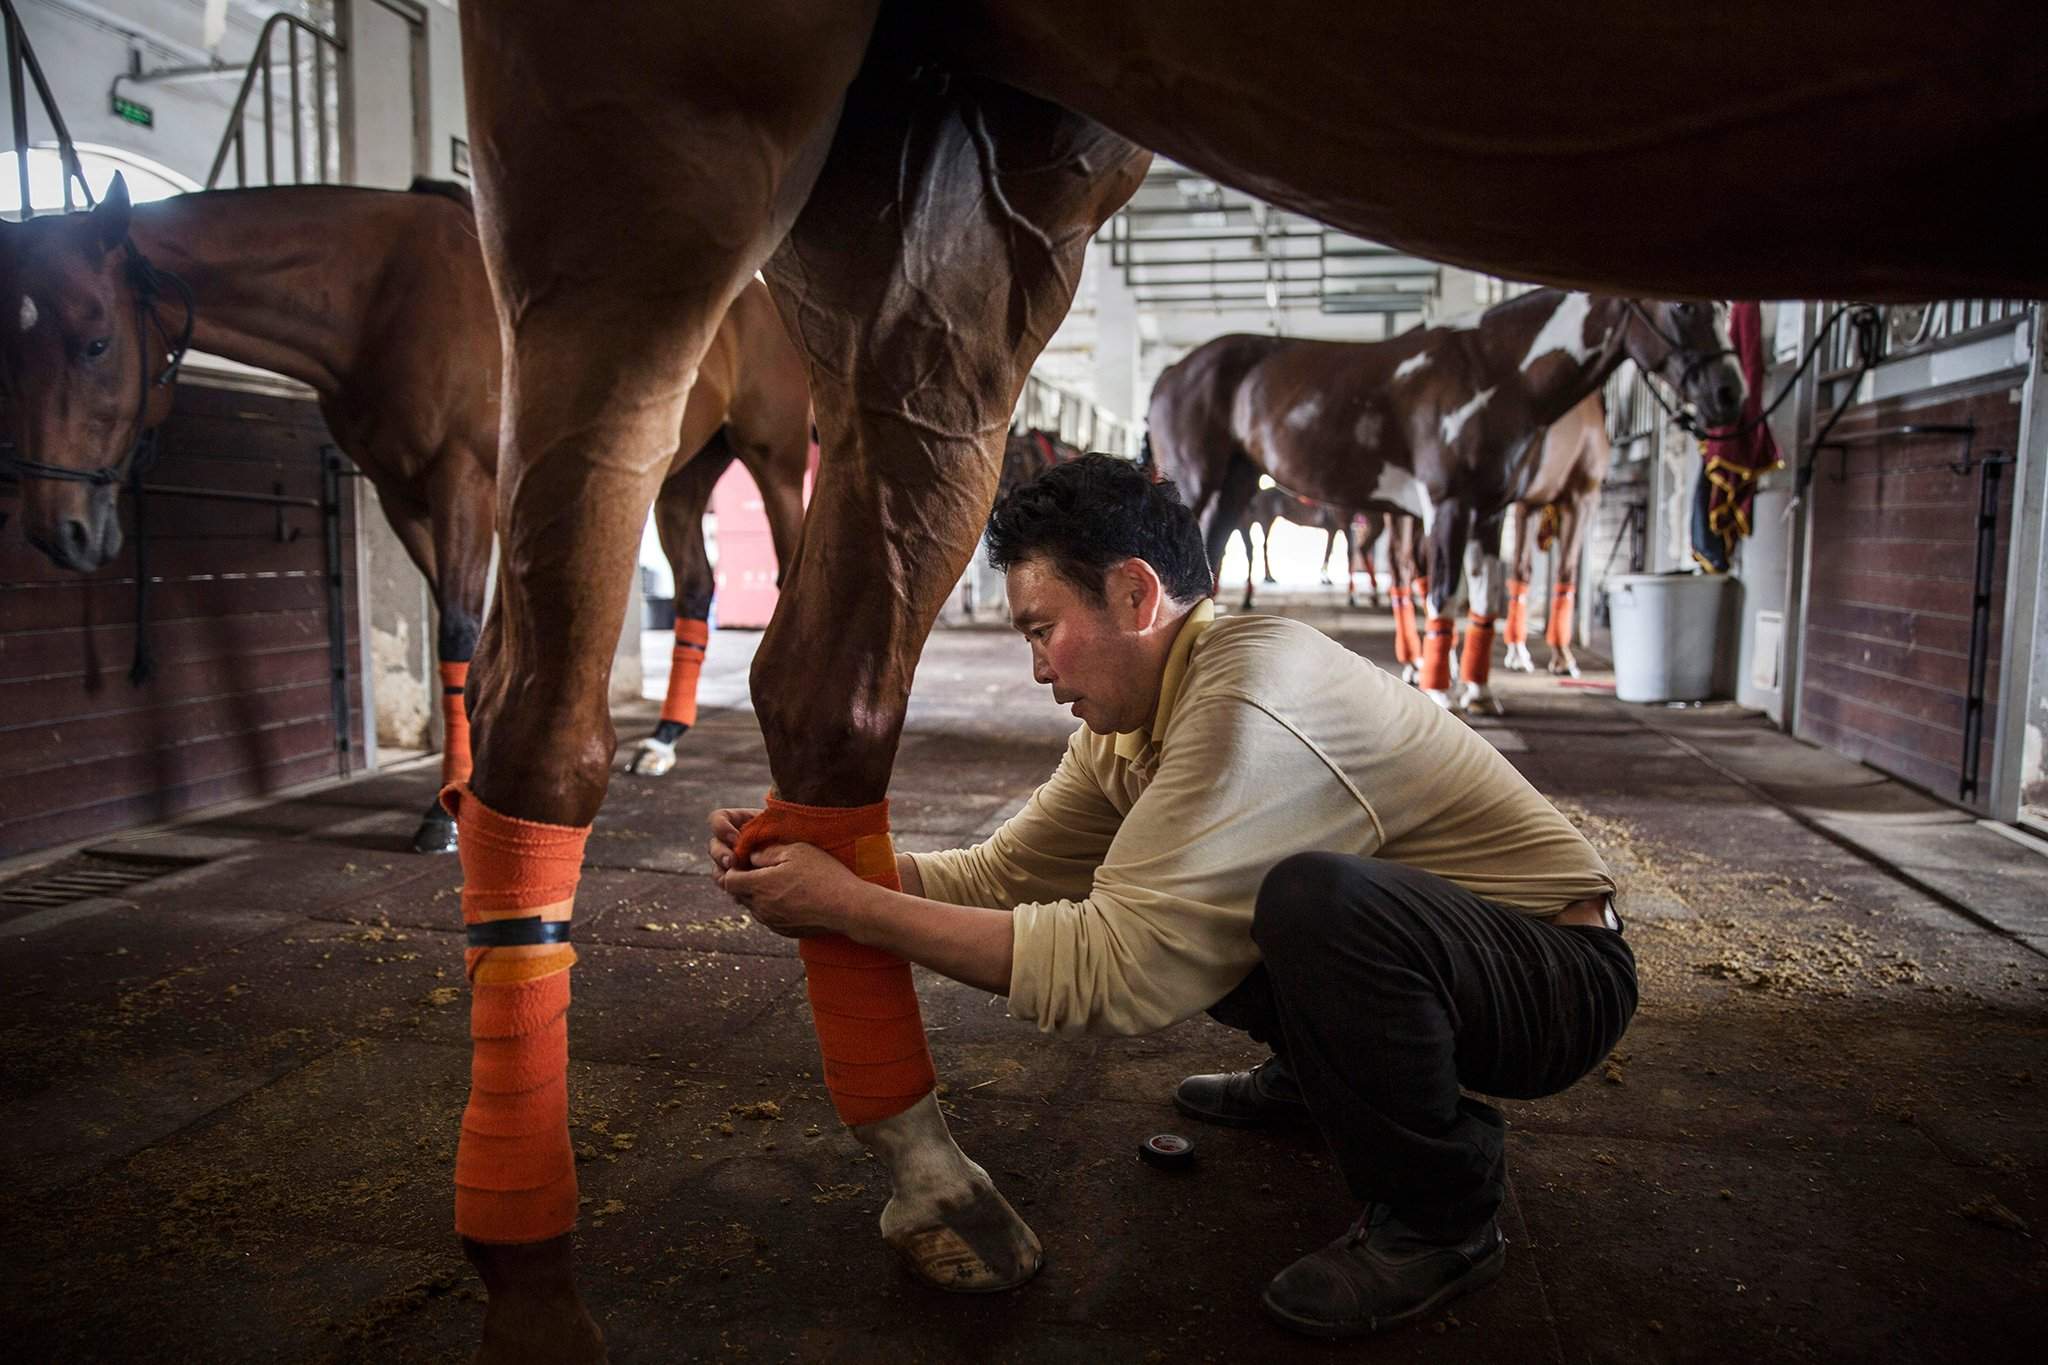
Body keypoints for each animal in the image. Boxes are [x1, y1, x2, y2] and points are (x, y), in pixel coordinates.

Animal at [0, 178, 815, 847]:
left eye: (97, 342)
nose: (58, 529)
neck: (379, 294)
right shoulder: (403, 496)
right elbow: (459, 640)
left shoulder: (463, 481)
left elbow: (456, 632)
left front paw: (443, 813)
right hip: (683, 474)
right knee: (696, 588)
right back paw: (664, 741)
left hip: (772, 461)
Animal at [1155, 290, 1744, 716]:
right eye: (1683, 305)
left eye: (1726, 308)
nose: (1729, 394)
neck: (1496, 371)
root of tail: (1172, 372)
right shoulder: (1447, 506)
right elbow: (1441, 593)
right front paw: (1439, 690)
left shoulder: (1490, 511)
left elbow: (1483, 597)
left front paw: (1479, 691)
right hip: (1200, 485)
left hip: (1236, 485)